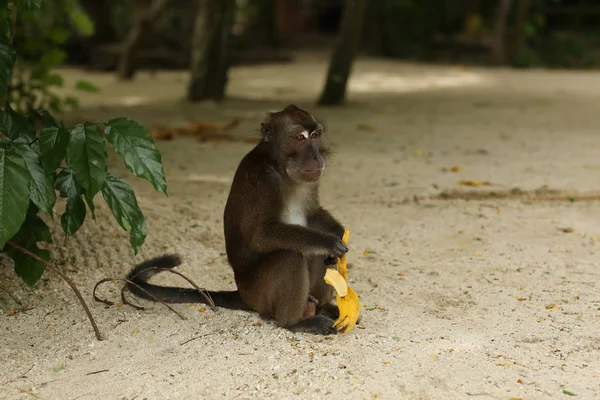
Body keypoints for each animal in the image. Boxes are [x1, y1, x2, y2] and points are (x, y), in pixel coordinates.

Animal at [129, 104, 350, 334]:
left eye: (315, 135)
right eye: (300, 137)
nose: (316, 157)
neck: (280, 167)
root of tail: (242, 294)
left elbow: (313, 214)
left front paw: (338, 232)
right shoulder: (262, 180)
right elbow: (261, 235)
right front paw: (327, 241)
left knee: (318, 256)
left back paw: (323, 307)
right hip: (259, 294)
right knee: (289, 255)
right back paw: (295, 322)